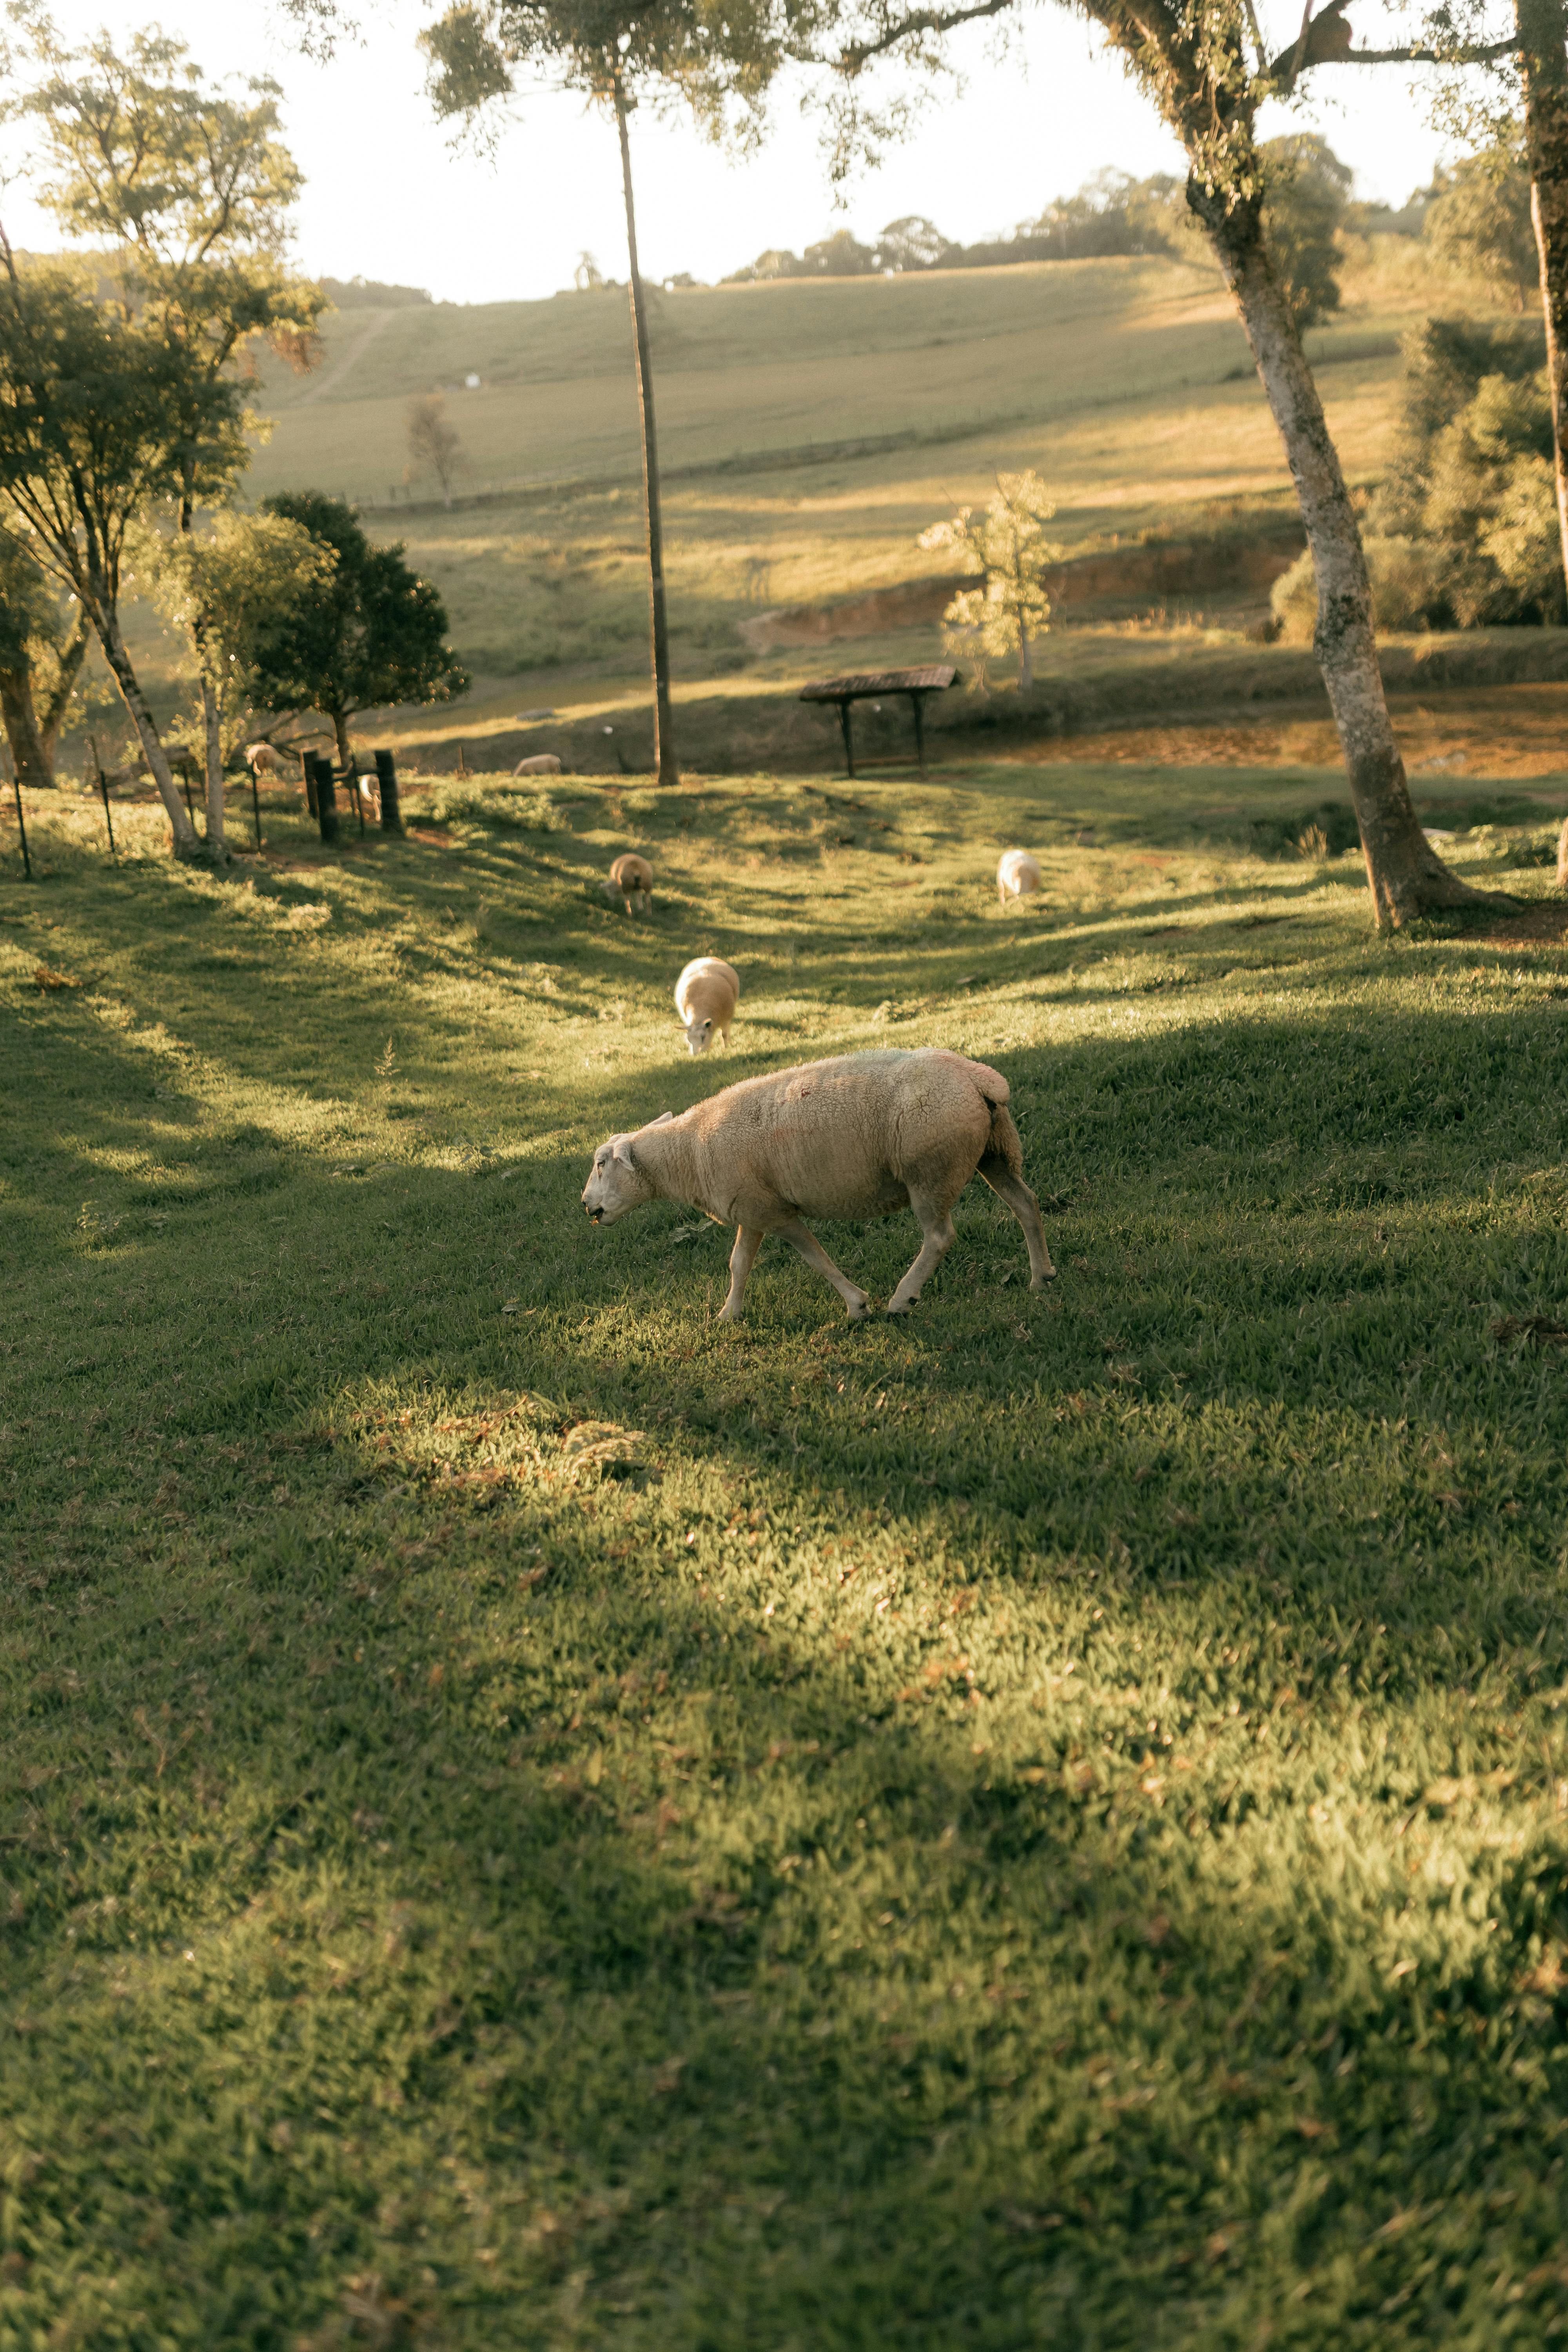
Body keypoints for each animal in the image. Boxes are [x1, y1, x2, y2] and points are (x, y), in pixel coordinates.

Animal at [581, 1047, 1056, 1323]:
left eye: (602, 1163)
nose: (586, 1205)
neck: (688, 1151)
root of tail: (978, 1076)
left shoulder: (774, 1212)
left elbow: (817, 1259)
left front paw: (857, 1306)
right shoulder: (752, 1208)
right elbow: (738, 1265)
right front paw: (727, 1316)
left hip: (929, 1169)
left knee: (939, 1236)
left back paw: (902, 1299)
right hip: (994, 1151)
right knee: (1026, 1204)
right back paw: (1041, 1277)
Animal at [606, 851, 653, 915]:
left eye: (610, 890)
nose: (610, 900)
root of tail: (636, 869)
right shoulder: (638, 889)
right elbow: (639, 896)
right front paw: (640, 908)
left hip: (626, 887)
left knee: (628, 902)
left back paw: (629, 914)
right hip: (647, 885)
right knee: (648, 902)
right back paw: (649, 915)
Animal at [675, 957, 739, 1055]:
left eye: (703, 1037)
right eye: (688, 1039)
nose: (695, 1055)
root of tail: (706, 958)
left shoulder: (727, 1017)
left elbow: (724, 1034)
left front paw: (725, 1048)